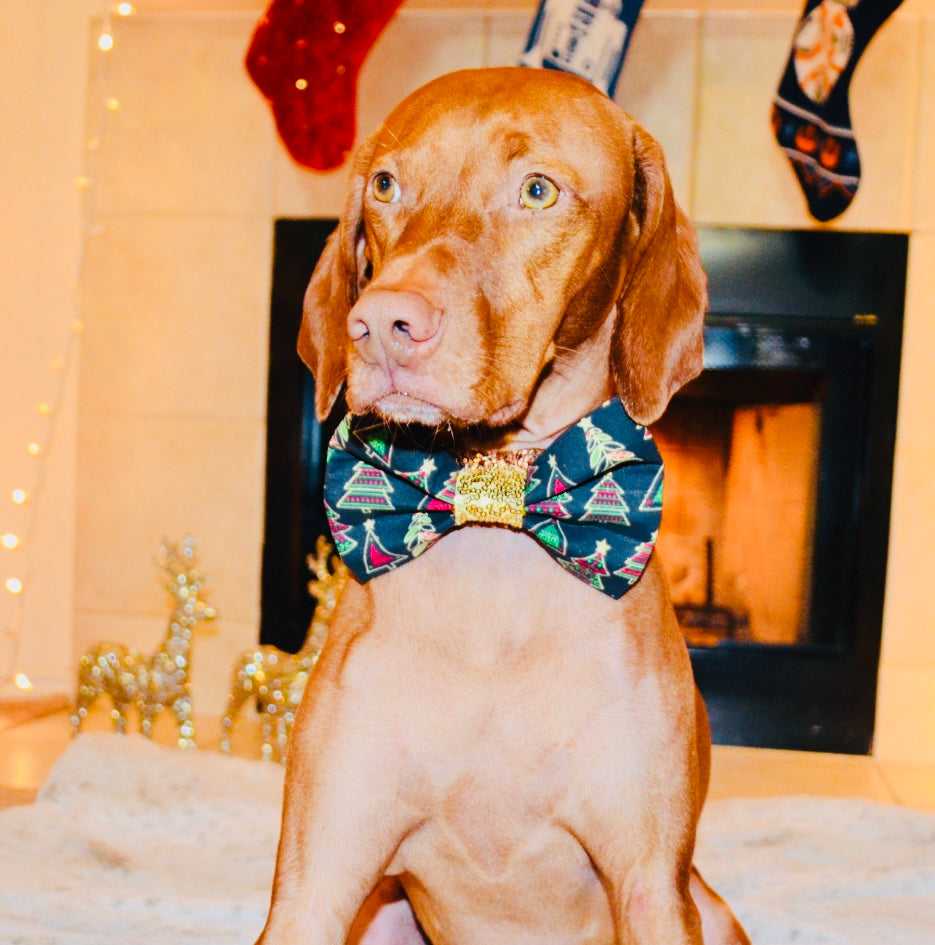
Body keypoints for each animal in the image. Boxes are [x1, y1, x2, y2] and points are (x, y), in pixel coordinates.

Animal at [256, 68, 752, 944]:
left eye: (537, 190)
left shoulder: (651, 887)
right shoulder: (314, 882)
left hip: (708, 909)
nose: (381, 324)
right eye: (385, 185)